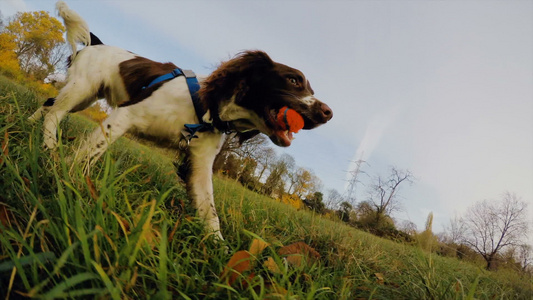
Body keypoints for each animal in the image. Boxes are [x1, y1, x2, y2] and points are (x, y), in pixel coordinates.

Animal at [30, 0, 332, 239]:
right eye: (293, 80)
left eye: (311, 89)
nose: (328, 113)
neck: (205, 109)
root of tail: (97, 43)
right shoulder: (125, 116)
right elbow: (87, 155)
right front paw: (67, 178)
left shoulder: (201, 163)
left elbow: (210, 213)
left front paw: (219, 254)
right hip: (81, 89)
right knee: (54, 114)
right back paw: (49, 147)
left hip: (84, 97)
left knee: (48, 104)